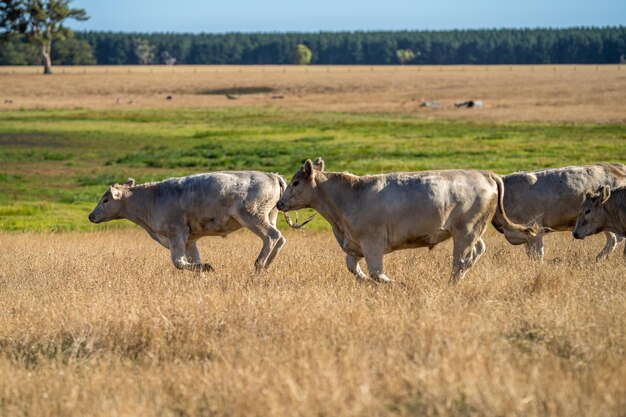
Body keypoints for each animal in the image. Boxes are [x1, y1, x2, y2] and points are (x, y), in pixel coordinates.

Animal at [88, 170, 286, 272]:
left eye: (105, 200)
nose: (91, 216)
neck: (152, 198)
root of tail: (272, 175)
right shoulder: (190, 241)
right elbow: (193, 260)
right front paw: (201, 270)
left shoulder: (177, 234)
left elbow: (178, 262)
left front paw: (207, 267)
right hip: (269, 216)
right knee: (280, 238)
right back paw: (268, 264)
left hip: (252, 216)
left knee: (272, 236)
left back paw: (259, 264)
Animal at [276, 158, 536, 284]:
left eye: (296, 182)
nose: (279, 204)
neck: (351, 195)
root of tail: (487, 175)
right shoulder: (355, 246)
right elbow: (354, 268)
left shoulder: (372, 243)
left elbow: (377, 273)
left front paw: (397, 285)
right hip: (472, 231)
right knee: (477, 251)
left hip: (466, 231)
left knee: (461, 259)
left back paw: (452, 282)